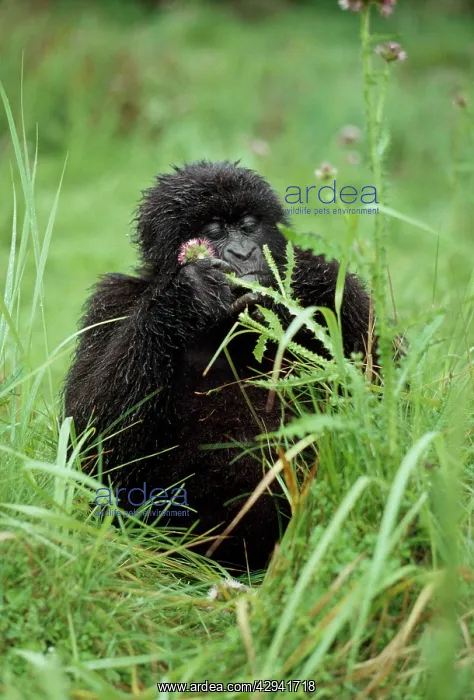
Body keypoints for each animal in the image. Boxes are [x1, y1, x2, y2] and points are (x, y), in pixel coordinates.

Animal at [63, 160, 375, 571]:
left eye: (248, 225)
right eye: (213, 230)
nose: (243, 253)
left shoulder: (345, 296)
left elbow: (387, 387)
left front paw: (294, 278)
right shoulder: (111, 300)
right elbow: (90, 443)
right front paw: (185, 294)